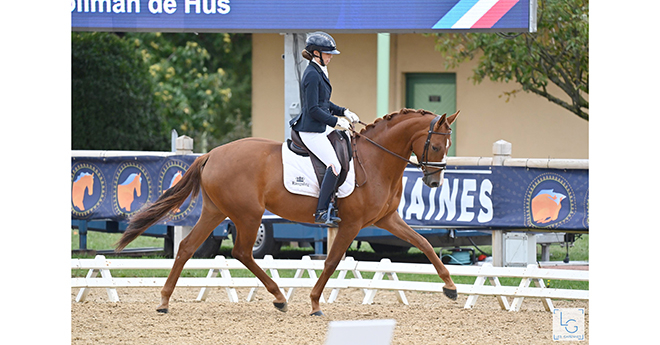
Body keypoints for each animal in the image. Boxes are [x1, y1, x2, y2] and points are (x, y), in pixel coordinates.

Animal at [114, 108, 458, 314]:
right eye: (436, 146)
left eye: (448, 146)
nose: (434, 182)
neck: (375, 160)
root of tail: (211, 154)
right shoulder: (351, 223)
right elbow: (332, 261)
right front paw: (315, 302)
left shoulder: (387, 219)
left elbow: (424, 243)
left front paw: (450, 287)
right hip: (248, 215)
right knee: (241, 252)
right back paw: (279, 296)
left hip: (216, 212)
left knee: (186, 247)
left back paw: (164, 300)